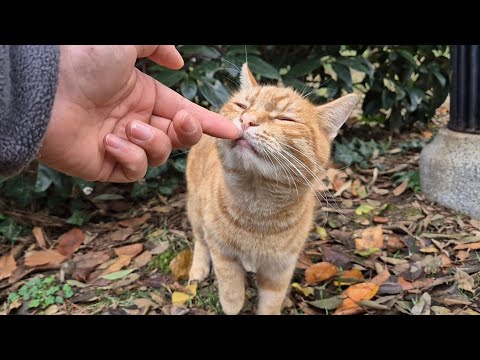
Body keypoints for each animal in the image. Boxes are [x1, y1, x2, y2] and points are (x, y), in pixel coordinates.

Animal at [187, 63, 356, 314]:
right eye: (242, 106)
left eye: (285, 118)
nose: (247, 120)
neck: (258, 210)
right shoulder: (222, 254)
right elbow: (230, 292)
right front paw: (232, 303)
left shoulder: (280, 269)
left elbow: (270, 303)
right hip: (196, 211)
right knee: (200, 240)